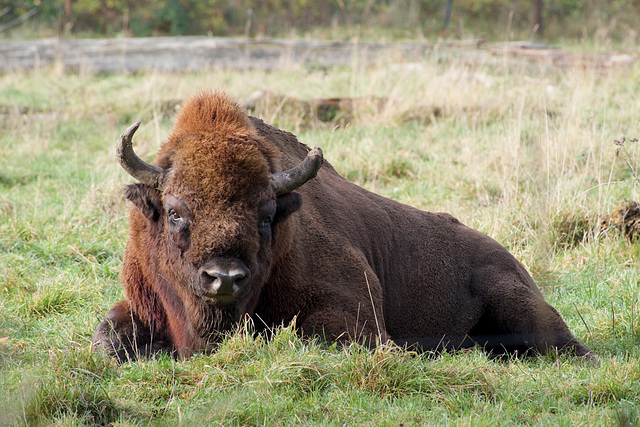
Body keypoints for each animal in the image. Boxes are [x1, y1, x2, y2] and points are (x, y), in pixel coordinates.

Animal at [92, 90, 592, 362]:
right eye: (175, 211)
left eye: (267, 214)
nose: (225, 278)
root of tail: (515, 262)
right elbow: (107, 337)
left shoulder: (354, 315)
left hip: (524, 310)